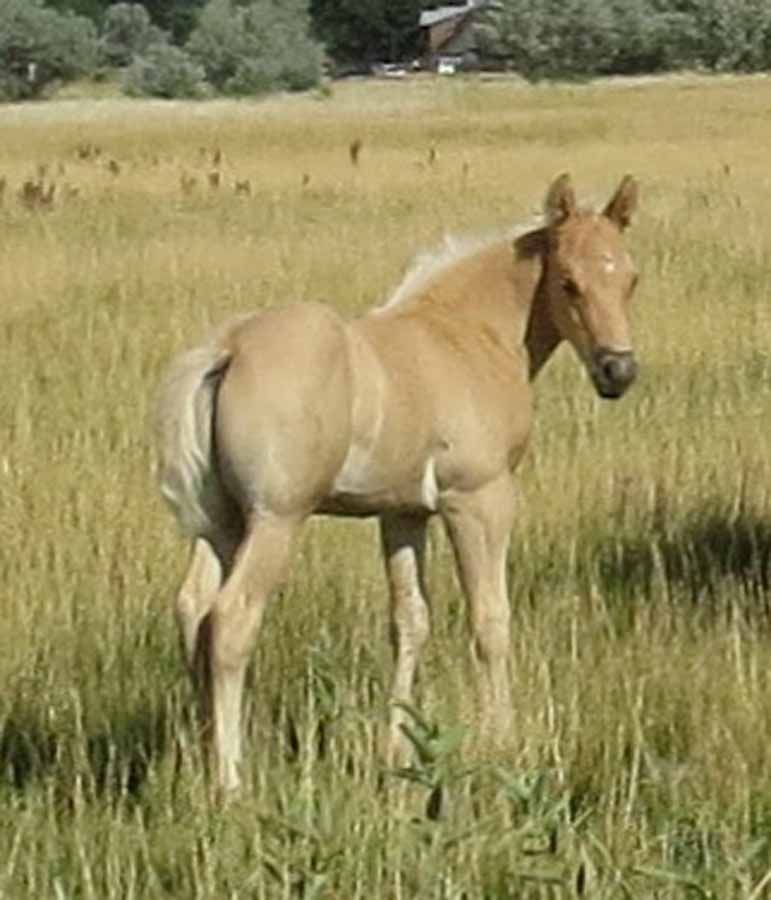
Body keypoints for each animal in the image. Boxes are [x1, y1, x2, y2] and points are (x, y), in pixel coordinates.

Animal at [155, 173, 640, 792]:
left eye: (630, 278)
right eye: (568, 282)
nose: (617, 371)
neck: (467, 334)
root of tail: (229, 349)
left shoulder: (403, 513)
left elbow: (410, 622)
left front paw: (398, 747)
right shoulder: (478, 501)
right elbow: (490, 619)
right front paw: (502, 740)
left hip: (223, 524)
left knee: (192, 609)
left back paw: (201, 758)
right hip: (275, 520)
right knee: (231, 619)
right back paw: (231, 782)